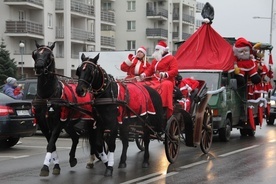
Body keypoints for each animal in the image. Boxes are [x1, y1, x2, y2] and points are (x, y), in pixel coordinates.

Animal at [31, 41, 98, 176]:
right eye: (35, 54)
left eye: (50, 55)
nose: (39, 66)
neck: (48, 97)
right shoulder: (43, 123)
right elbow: (52, 144)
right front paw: (56, 165)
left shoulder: (58, 122)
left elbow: (51, 144)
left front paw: (45, 167)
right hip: (69, 124)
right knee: (76, 138)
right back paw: (73, 159)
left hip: (89, 121)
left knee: (93, 139)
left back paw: (94, 159)